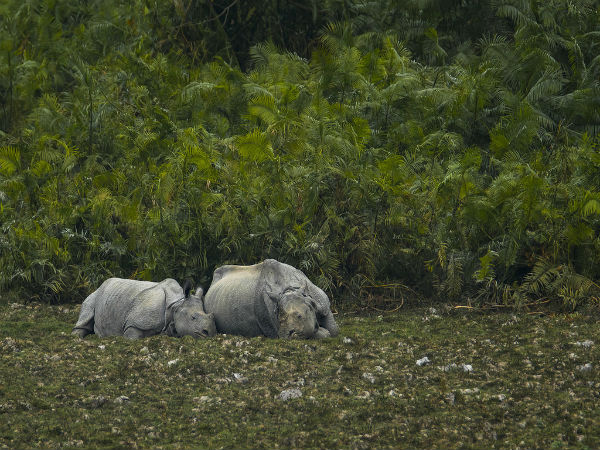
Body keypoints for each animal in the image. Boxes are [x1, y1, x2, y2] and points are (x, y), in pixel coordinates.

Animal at [72, 276, 217, 340]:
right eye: (193, 317)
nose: (209, 333)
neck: (176, 305)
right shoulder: (134, 323)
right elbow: (132, 336)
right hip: (96, 293)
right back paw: (77, 337)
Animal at [204, 258, 340, 340]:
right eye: (278, 319)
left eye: (300, 316)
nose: (286, 335)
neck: (291, 289)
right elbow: (319, 333)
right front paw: (323, 332)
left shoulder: (323, 304)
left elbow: (334, 330)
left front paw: (326, 331)